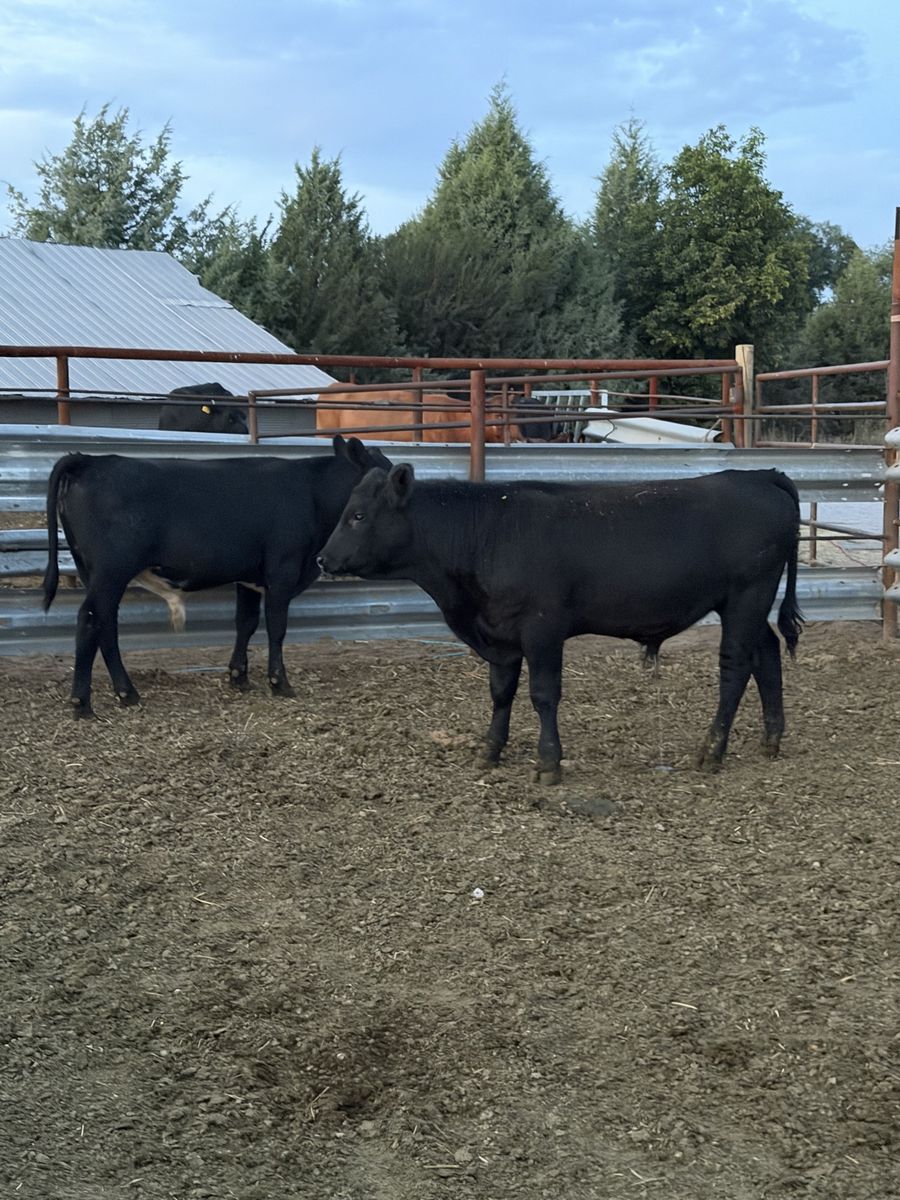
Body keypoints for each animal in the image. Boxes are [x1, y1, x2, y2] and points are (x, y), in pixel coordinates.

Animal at [42, 435, 392, 717]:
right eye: (387, 474)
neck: (313, 493)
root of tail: (90, 460)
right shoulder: (282, 570)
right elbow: (276, 628)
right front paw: (279, 683)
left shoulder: (249, 576)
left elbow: (245, 624)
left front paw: (239, 677)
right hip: (110, 572)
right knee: (90, 622)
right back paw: (83, 703)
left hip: (95, 573)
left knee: (106, 625)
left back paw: (127, 694)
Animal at [318, 466, 803, 783]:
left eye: (358, 515)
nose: (323, 559)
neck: (486, 533)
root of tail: (758, 474)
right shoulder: (500, 635)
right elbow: (501, 693)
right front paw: (489, 750)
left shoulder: (542, 630)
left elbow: (543, 695)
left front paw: (548, 761)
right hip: (745, 604)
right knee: (766, 652)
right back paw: (771, 738)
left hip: (746, 595)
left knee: (735, 666)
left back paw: (712, 751)